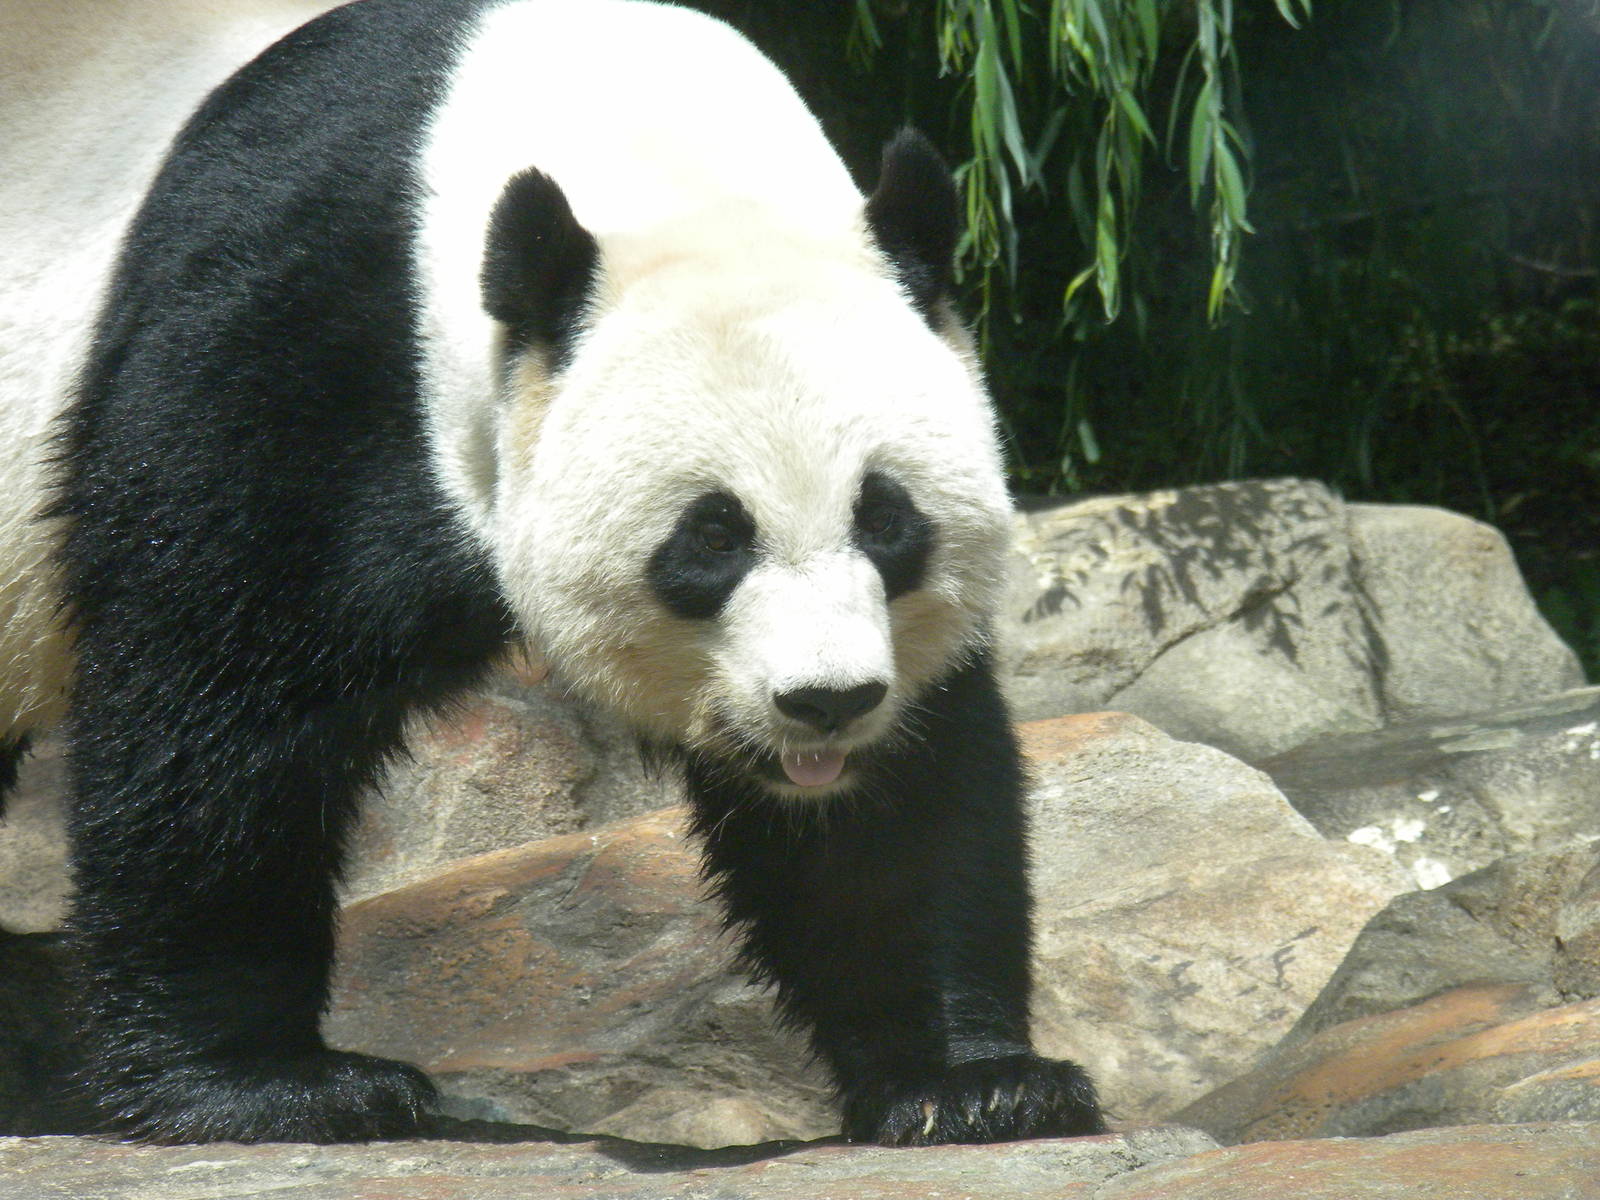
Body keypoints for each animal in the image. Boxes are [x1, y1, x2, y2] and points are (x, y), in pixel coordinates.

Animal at [0, 0, 1104, 1145]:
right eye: (711, 539)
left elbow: (902, 810)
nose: (825, 703)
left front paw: (971, 1084)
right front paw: (272, 1086)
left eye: (887, 522)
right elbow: (216, 700)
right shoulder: (294, 337)